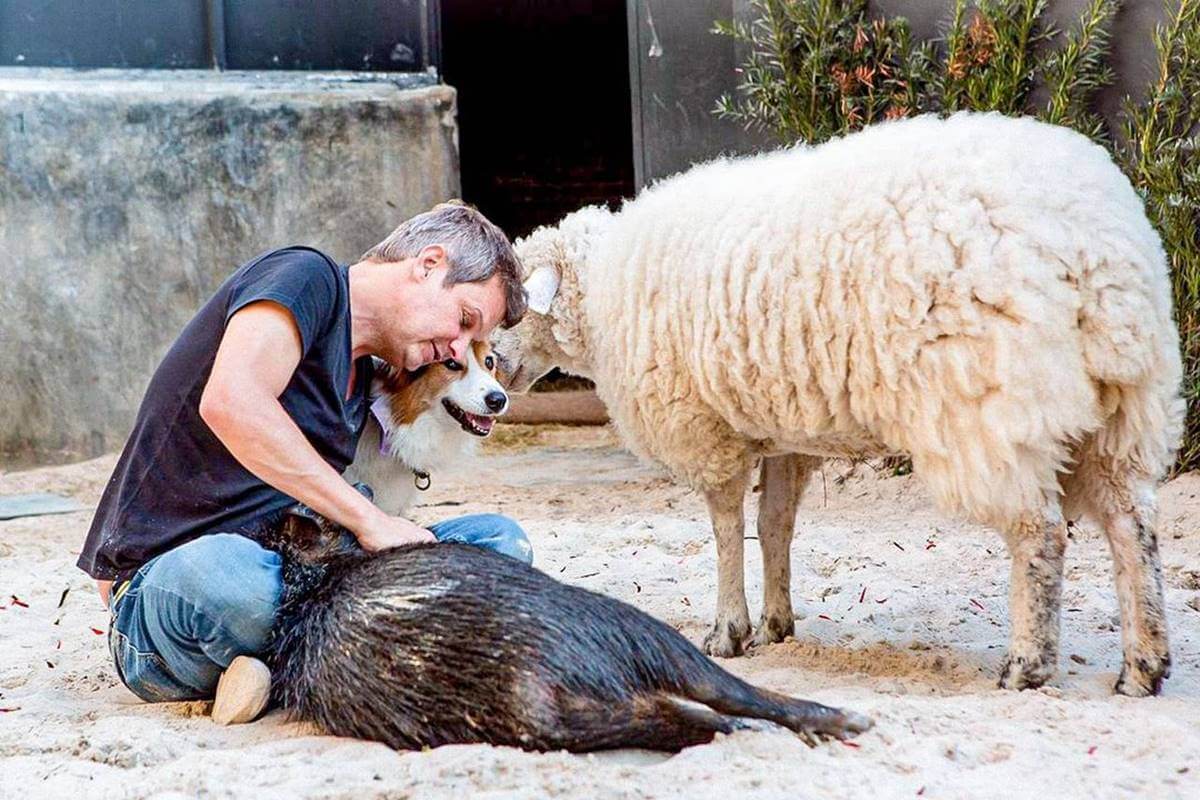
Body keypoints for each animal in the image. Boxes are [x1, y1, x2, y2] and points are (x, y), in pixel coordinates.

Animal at [494, 110, 1180, 695]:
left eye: (515, 308)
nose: (495, 375)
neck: (603, 289)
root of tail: (1091, 243)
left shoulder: (705, 430)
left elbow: (726, 529)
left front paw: (727, 629)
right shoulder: (782, 428)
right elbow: (775, 525)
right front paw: (776, 623)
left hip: (990, 406)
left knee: (1040, 532)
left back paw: (1028, 664)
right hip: (1126, 400)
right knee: (1132, 524)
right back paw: (1142, 664)